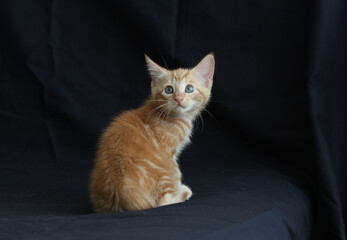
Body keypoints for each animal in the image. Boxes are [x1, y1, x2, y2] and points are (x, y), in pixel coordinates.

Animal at [89, 53, 215, 212]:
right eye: (169, 90)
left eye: (189, 88)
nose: (178, 99)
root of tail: (120, 193)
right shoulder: (169, 153)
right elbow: (176, 173)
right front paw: (179, 188)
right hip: (162, 172)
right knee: (162, 201)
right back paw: (183, 192)